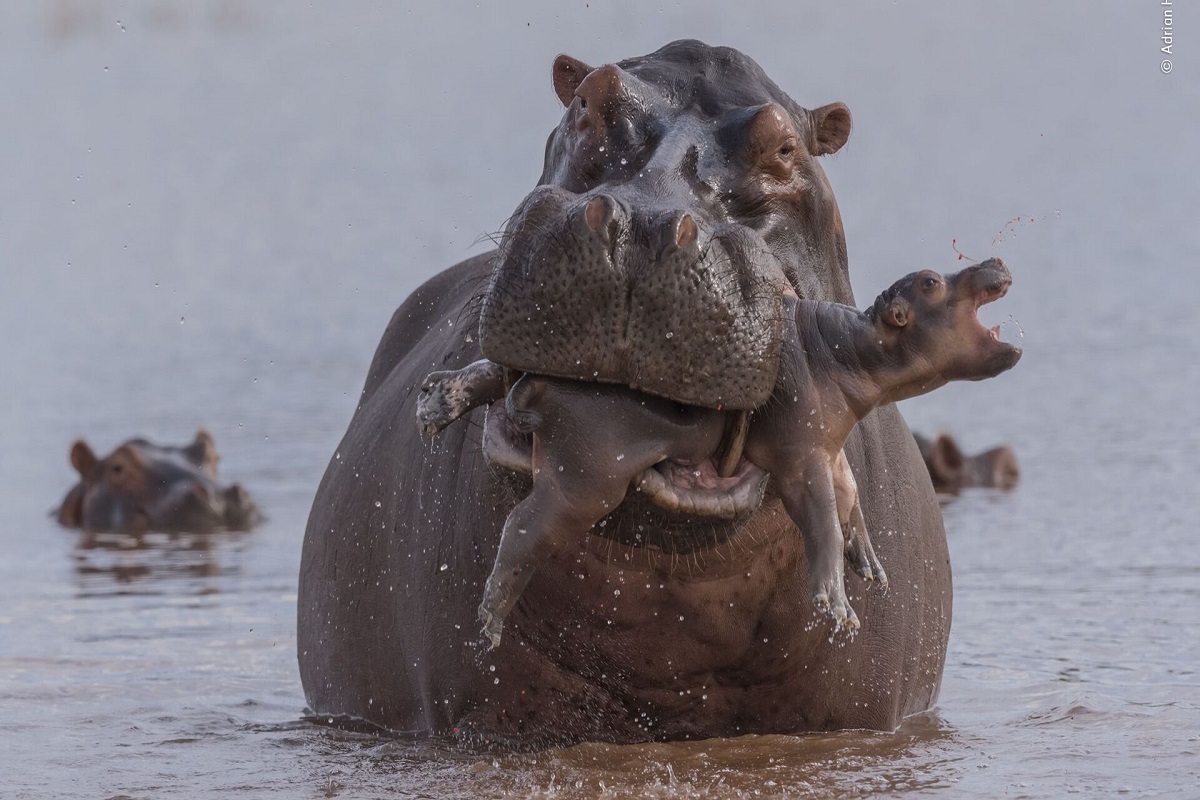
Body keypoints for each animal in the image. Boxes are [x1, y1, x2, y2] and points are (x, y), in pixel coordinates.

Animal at [417, 260, 1017, 647]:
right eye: (931, 282)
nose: (995, 260)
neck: (848, 346)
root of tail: (542, 386)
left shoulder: (829, 446)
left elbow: (848, 497)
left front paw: (870, 564)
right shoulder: (802, 458)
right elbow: (821, 518)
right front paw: (839, 611)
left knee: (491, 371)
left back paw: (435, 401)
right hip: (583, 480)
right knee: (522, 526)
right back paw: (489, 623)